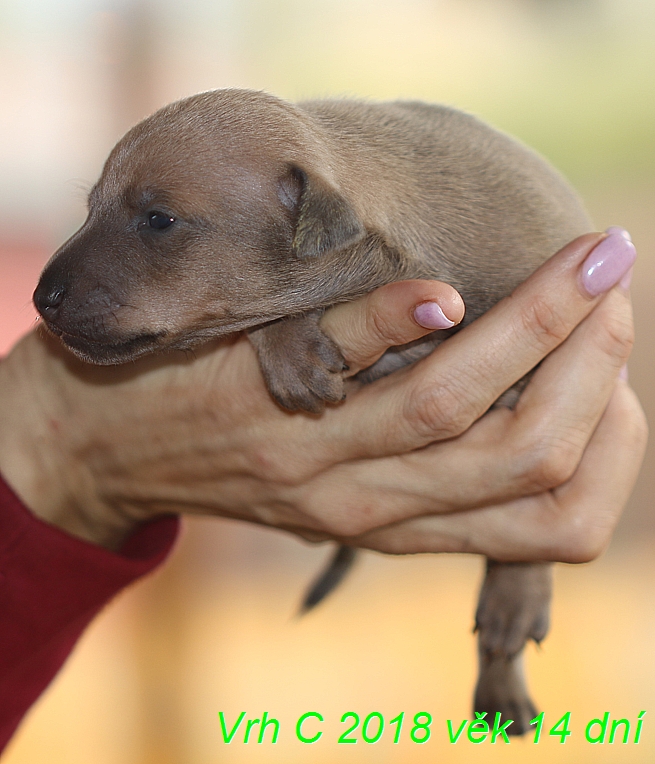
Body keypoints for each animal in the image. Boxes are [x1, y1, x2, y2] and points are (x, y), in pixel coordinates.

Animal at [33, 89, 592, 736]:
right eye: (91, 207)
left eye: (159, 220)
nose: (40, 299)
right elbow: (274, 315)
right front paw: (290, 348)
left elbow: (526, 516)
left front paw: (515, 594)